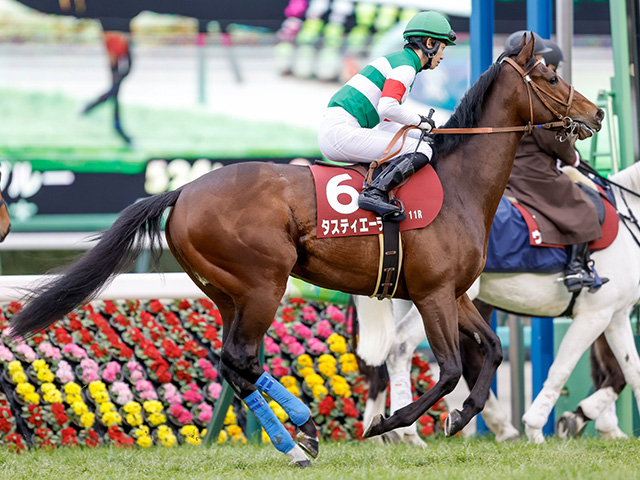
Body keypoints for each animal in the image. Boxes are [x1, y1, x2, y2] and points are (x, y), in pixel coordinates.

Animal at [8, 37, 602, 466]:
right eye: (551, 76)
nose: (595, 115)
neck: (460, 185)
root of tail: (183, 190)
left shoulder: (455, 294)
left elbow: (492, 352)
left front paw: (463, 419)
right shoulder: (432, 294)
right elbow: (452, 368)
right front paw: (390, 423)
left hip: (226, 291)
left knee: (234, 363)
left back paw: (300, 438)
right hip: (263, 283)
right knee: (241, 358)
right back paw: (303, 431)